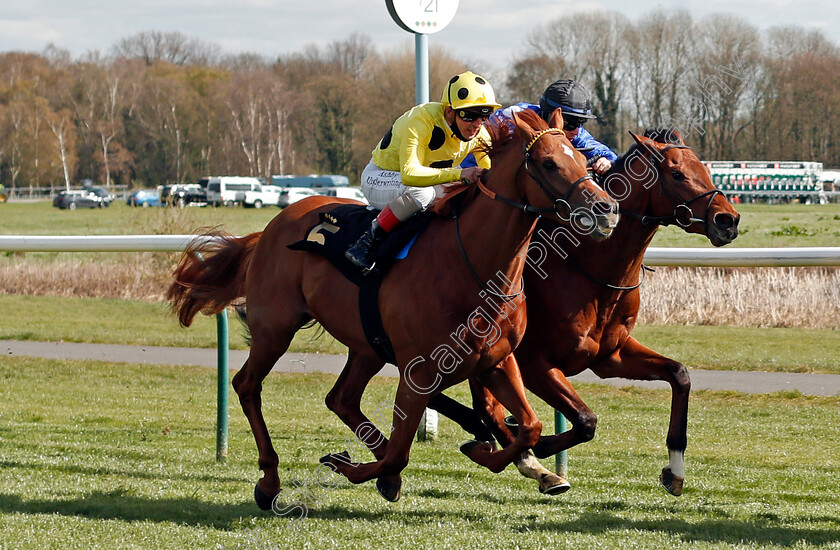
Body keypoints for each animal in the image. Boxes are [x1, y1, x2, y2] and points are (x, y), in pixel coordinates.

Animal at [167, 110, 620, 512]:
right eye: (548, 162)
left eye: (584, 161)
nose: (606, 209)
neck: (472, 264)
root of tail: (273, 226)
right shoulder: (419, 371)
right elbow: (402, 451)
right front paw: (351, 465)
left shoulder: (497, 360)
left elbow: (529, 426)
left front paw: (494, 451)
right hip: (275, 327)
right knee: (247, 384)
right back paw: (270, 480)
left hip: (366, 344)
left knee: (341, 398)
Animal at [430, 128, 740, 496]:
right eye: (677, 174)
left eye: (705, 168)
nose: (728, 220)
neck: (590, 265)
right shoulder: (534, 364)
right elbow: (584, 421)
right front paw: (533, 449)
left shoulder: (610, 356)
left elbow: (679, 375)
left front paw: (675, 471)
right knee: (475, 404)